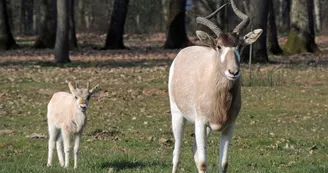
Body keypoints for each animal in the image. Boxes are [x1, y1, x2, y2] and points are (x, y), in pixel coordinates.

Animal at [168, 0, 262, 172]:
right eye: (219, 46)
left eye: (240, 45)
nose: (233, 71)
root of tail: (182, 53)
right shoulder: (200, 123)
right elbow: (203, 162)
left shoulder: (229, 126)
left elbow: (223, 164)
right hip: (178, 115)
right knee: (177, 153)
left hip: (208, 128)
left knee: (194, 149)